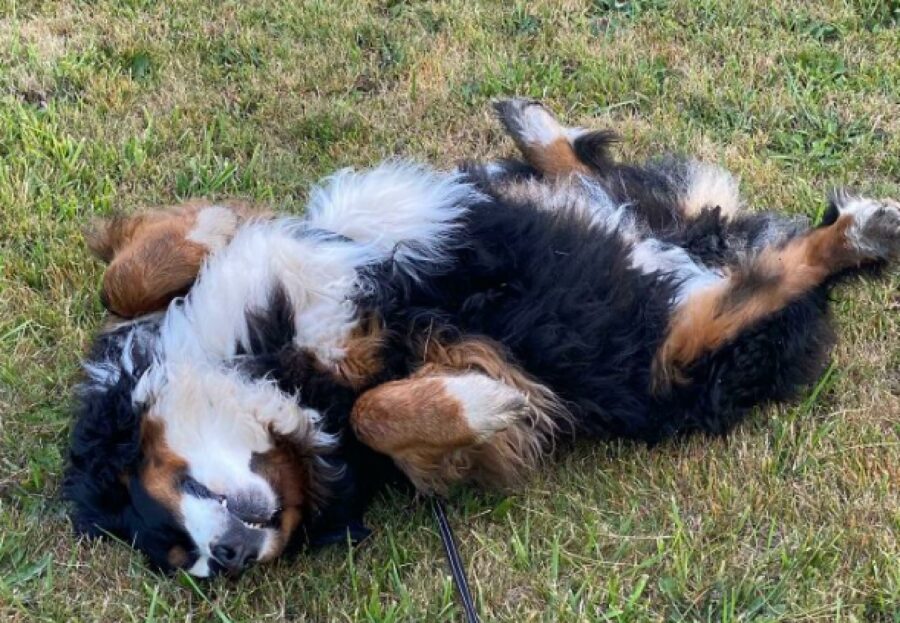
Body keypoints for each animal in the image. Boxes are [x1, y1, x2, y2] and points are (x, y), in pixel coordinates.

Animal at [65, 100, 900, 576]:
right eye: (186, 559)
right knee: (770, 277)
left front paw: (206, 227)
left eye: (163, 489)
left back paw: (530, 123)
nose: (233, 557)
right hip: (670, 350)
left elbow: (126, 280)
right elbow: (380, 410)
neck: (274, 368)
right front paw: (482, 404)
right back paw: (859, 232)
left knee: (587, 183)